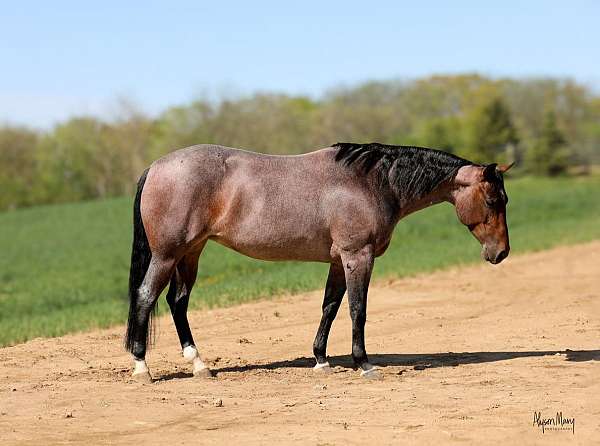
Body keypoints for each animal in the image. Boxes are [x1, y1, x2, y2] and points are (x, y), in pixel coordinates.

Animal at [124, 142, 512, 380]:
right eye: (494, 200)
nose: (501, 253)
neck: (370, 182)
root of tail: (155, 167)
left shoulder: (339, 260)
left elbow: (329, 306)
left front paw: (321, 360)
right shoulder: (358, 256)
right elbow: (357, 309)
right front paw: (364, 363)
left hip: (191, 252)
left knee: (177, 302)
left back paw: (200, 365)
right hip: (167, 254)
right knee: (145, 296)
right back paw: (142, 367)